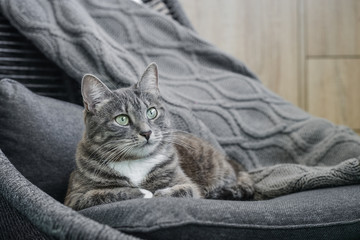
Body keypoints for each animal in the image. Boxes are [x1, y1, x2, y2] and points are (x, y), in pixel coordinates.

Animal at [65, 62, 256, 210]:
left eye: (151, 112)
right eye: (122, 119)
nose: (146, 132)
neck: (135, 162)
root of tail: (229, 159)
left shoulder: (188, 184)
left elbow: (186, 190)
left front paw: (160, 193)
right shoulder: (73, 197)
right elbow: (102, 194)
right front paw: (142, 192)